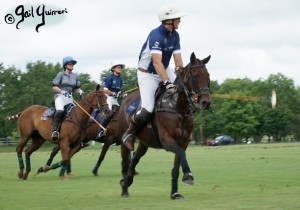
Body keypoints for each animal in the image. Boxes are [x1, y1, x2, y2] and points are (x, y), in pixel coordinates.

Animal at [117, 52, 211, 199]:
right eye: (195, 76)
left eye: (208, 76)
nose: (206, 102)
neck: (178, 106)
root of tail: (125, 99)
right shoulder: (167, 140)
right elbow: (181, 154)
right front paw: (188, 175)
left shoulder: (183, 141)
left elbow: (177, 165)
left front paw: (175, 193)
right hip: (124, 140)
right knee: (125, 160)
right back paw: (124, 188)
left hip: (144, 142)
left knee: (135, 158)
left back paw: (127, 181)